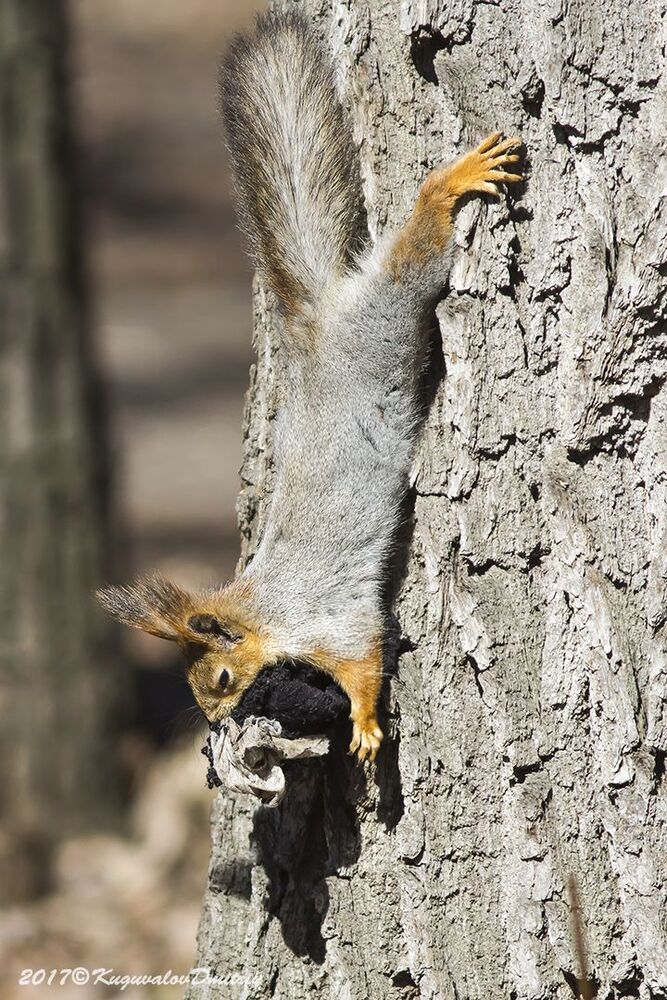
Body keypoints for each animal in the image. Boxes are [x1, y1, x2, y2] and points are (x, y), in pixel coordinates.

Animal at [98, 11, 523, 762]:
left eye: (221, 677)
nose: (213, 727)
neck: (262, 608)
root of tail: (318, 321)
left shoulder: (328, 618)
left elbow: (365, 659)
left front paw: (364, 725)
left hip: (387, 316)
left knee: (414, 255)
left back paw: (451, 183)